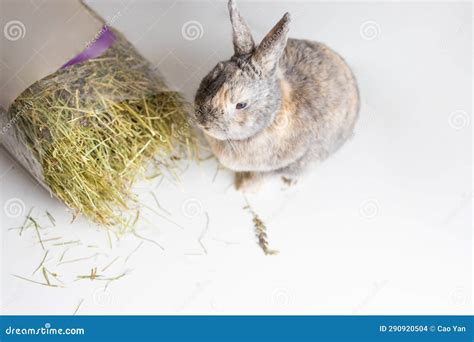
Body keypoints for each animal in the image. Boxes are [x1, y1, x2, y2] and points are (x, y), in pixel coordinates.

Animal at [193, 0, 360, 192]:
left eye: (241, 105)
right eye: (213, 75)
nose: (203, 123)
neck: (270, 119)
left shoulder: (285, 164)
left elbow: (264, 176)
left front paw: (243, 188)